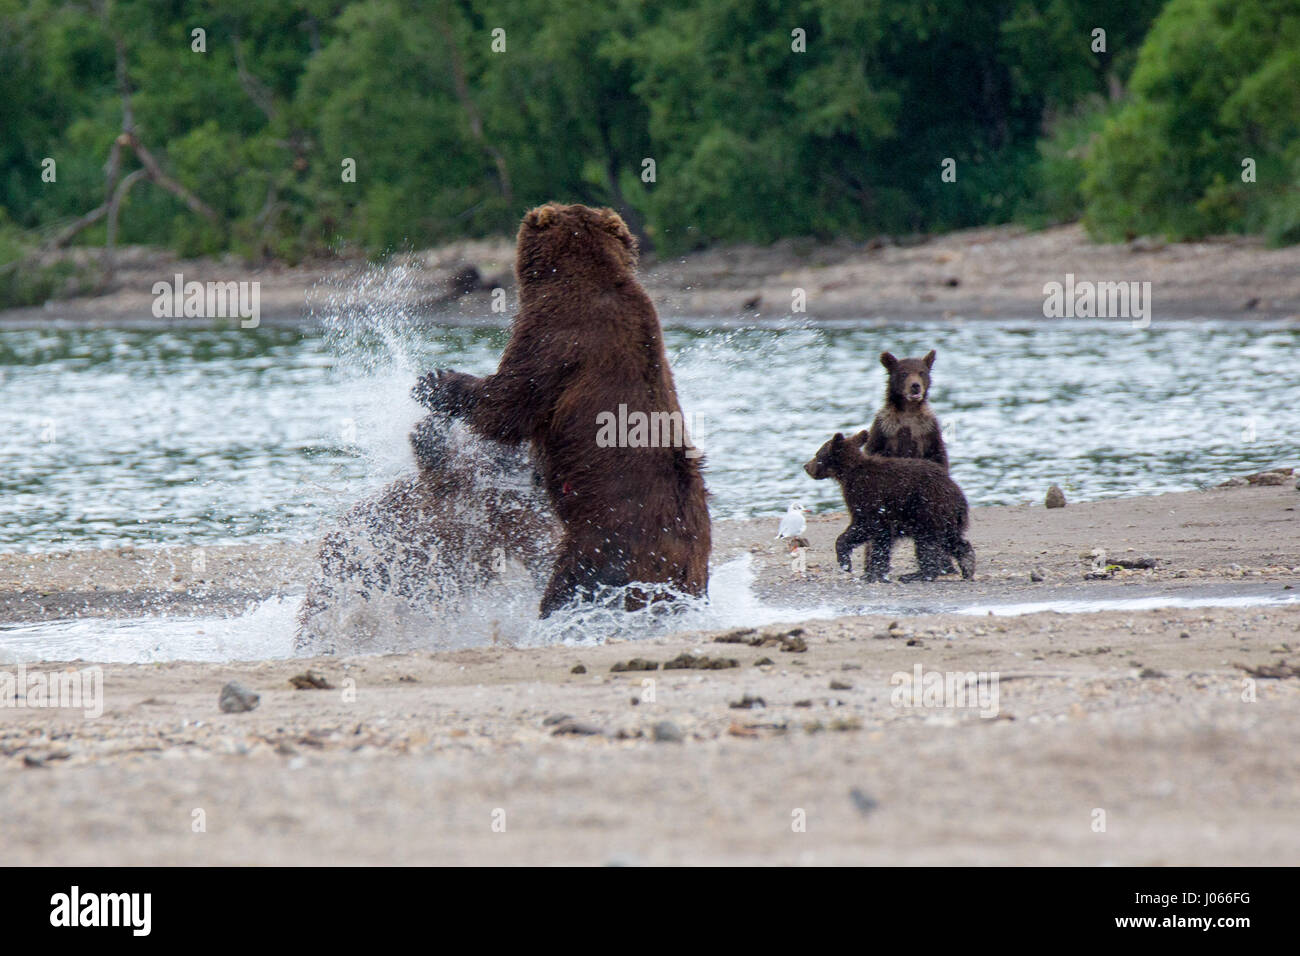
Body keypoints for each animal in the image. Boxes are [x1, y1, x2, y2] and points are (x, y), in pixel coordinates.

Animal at [412, 202, 711, 617]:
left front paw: (436, 383)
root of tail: (684, 564)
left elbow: (508, 402)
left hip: (602, 544)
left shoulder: (557, 337)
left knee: (571, 586)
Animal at [803, 430, 975, 583]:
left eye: (817, 454)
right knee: (950, 539)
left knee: (926, 544)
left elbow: (863, 526)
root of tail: (959, 495)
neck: (848, 474)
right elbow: (882, 540)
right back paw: (967, 565)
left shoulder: (868, 497)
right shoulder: (884, 515)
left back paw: (917, 574)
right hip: (943, 517)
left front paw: (847, 563)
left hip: (928, 511)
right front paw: (874, 573)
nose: (806, 466)